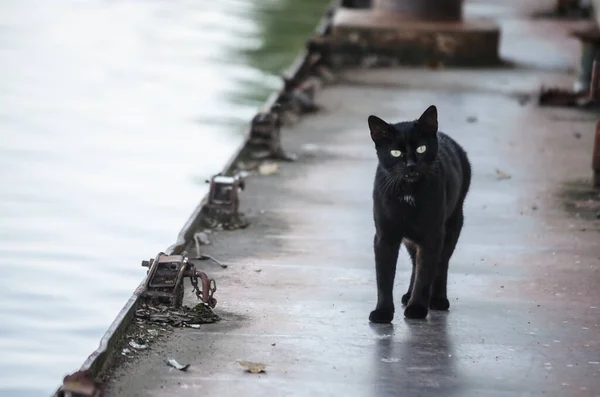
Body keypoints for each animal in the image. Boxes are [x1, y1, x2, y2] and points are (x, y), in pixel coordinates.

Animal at [368, 106, 472, 322]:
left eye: (421, 149)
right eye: (395, 152)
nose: (410, 165)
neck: (408, 192)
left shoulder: (433, 234)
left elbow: (425, 274)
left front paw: (417, 308)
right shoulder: (385, 236)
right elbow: (384, 276)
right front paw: (383, 312)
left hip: (452, 224)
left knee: (441, 263)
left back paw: (438, 299)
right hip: (411, 237)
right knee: (416, 262)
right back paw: (408, 295)